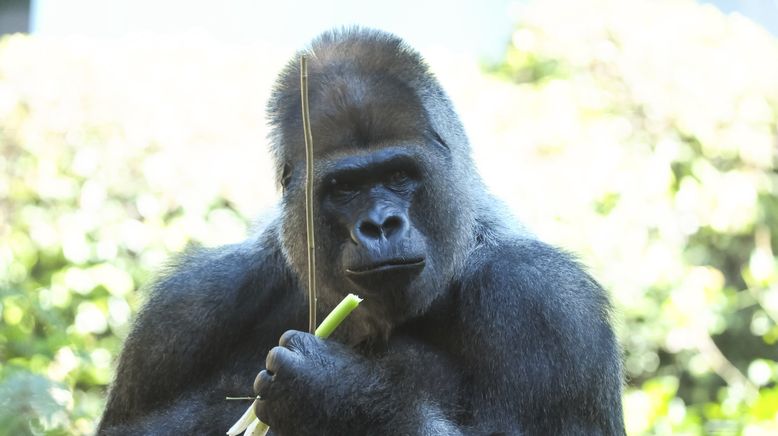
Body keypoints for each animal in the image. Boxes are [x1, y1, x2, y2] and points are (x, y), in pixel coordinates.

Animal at [97, 29, 624, 434]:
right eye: (345, 187)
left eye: (398, 175)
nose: (379, 225)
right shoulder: (185, 308)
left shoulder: (547, 302)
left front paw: (333, 395)